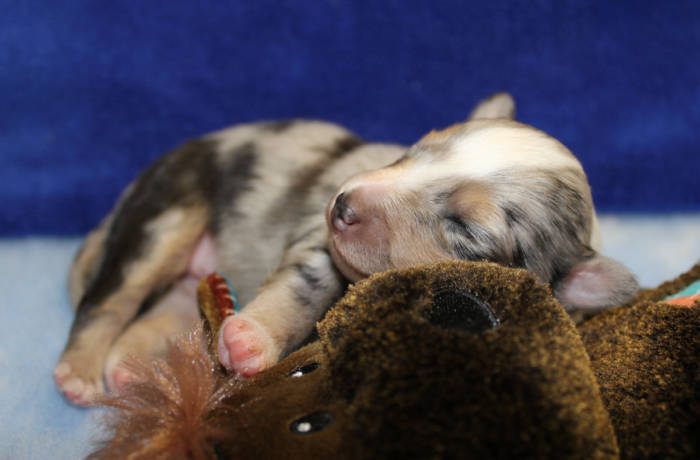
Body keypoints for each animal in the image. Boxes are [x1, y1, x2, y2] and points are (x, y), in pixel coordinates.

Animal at [54, 93, 638, 406]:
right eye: (414, 151)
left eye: (465, 230)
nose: (339, 204)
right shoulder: (316, 244)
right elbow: (302, 286)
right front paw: (250, 339)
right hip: (166, 216)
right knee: (109, 300)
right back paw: (81, 371)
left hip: (184, 267)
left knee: (162, 311)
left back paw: (132, 368)